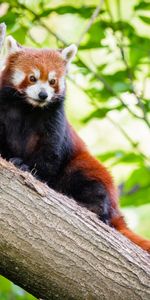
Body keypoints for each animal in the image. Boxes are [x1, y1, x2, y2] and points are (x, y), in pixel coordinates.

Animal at [0, 35, 149, 253]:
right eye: (32, 78)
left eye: (52, 81)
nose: (43, 95)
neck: (29, 108)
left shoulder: (55, 121)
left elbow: (50, 155)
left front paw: (29, 169)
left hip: (85, 167)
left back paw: (90, 207)